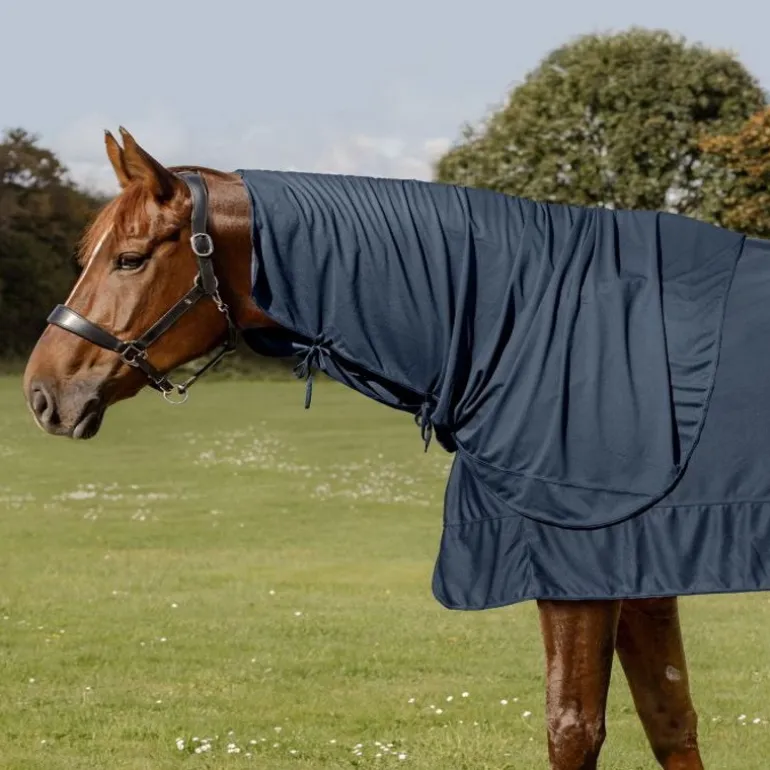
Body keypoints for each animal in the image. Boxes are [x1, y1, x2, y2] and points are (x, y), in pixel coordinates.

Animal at [23, 127, 720, 770]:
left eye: (130, 260)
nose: (41, 392)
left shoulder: (583, 571)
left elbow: (575, 728)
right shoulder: (641, 574)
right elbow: (670, 718)